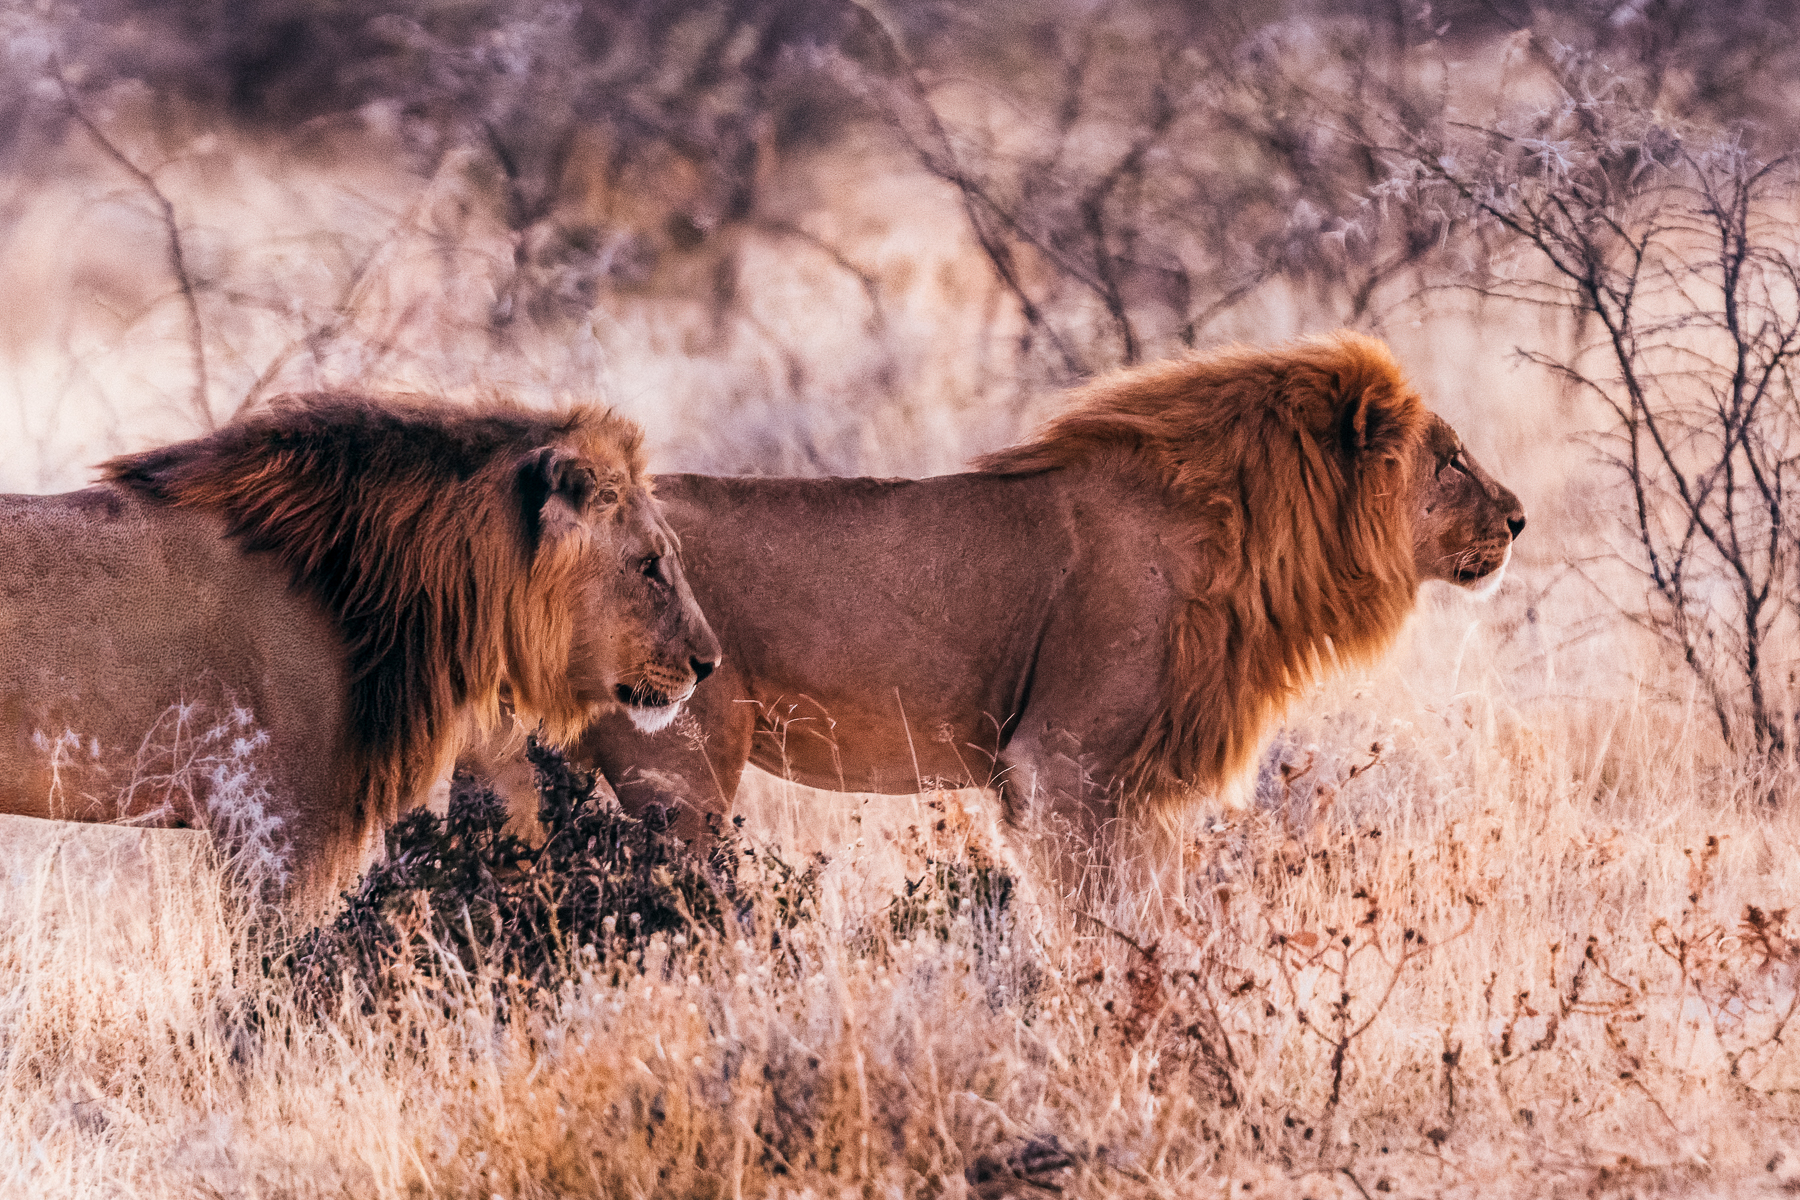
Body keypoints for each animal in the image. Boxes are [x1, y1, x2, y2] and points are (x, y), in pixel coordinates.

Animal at [529, 333, 1524, 897]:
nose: (1519, 518)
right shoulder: (1059, 765)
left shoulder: (1133, 785)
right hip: (681, 774)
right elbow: (1095, 926)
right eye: (1451, 460)